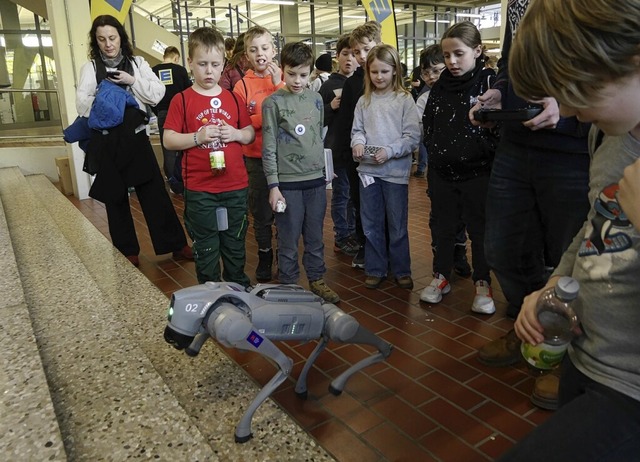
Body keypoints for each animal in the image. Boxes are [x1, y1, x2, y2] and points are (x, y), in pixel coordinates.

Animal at [162, 282, 392, 444]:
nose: (170, 337)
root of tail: (322, 303)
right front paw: (194, 347)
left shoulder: (240, 329)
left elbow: (286, 363)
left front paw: (243, 431)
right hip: (326, 328)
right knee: (324, 341)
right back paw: (305, 387)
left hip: (338, 327)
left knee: (345, 327)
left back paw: (382, 353)